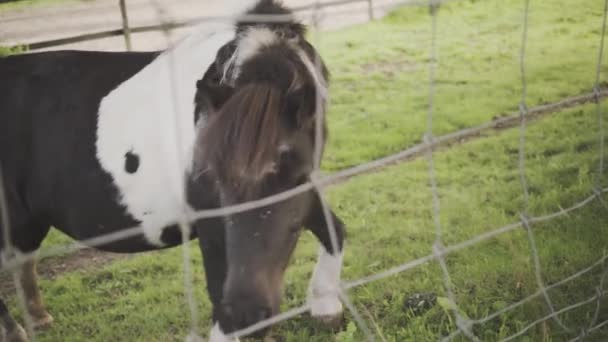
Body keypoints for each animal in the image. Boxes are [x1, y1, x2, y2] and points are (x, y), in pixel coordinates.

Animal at [0, 0, 344, 342]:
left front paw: (326, 307)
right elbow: (218, 294)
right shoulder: (210, 220)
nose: (249, 313)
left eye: (296, 173)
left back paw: (39, 318)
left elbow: (334, 230)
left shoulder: (303, 190)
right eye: (213, 177)